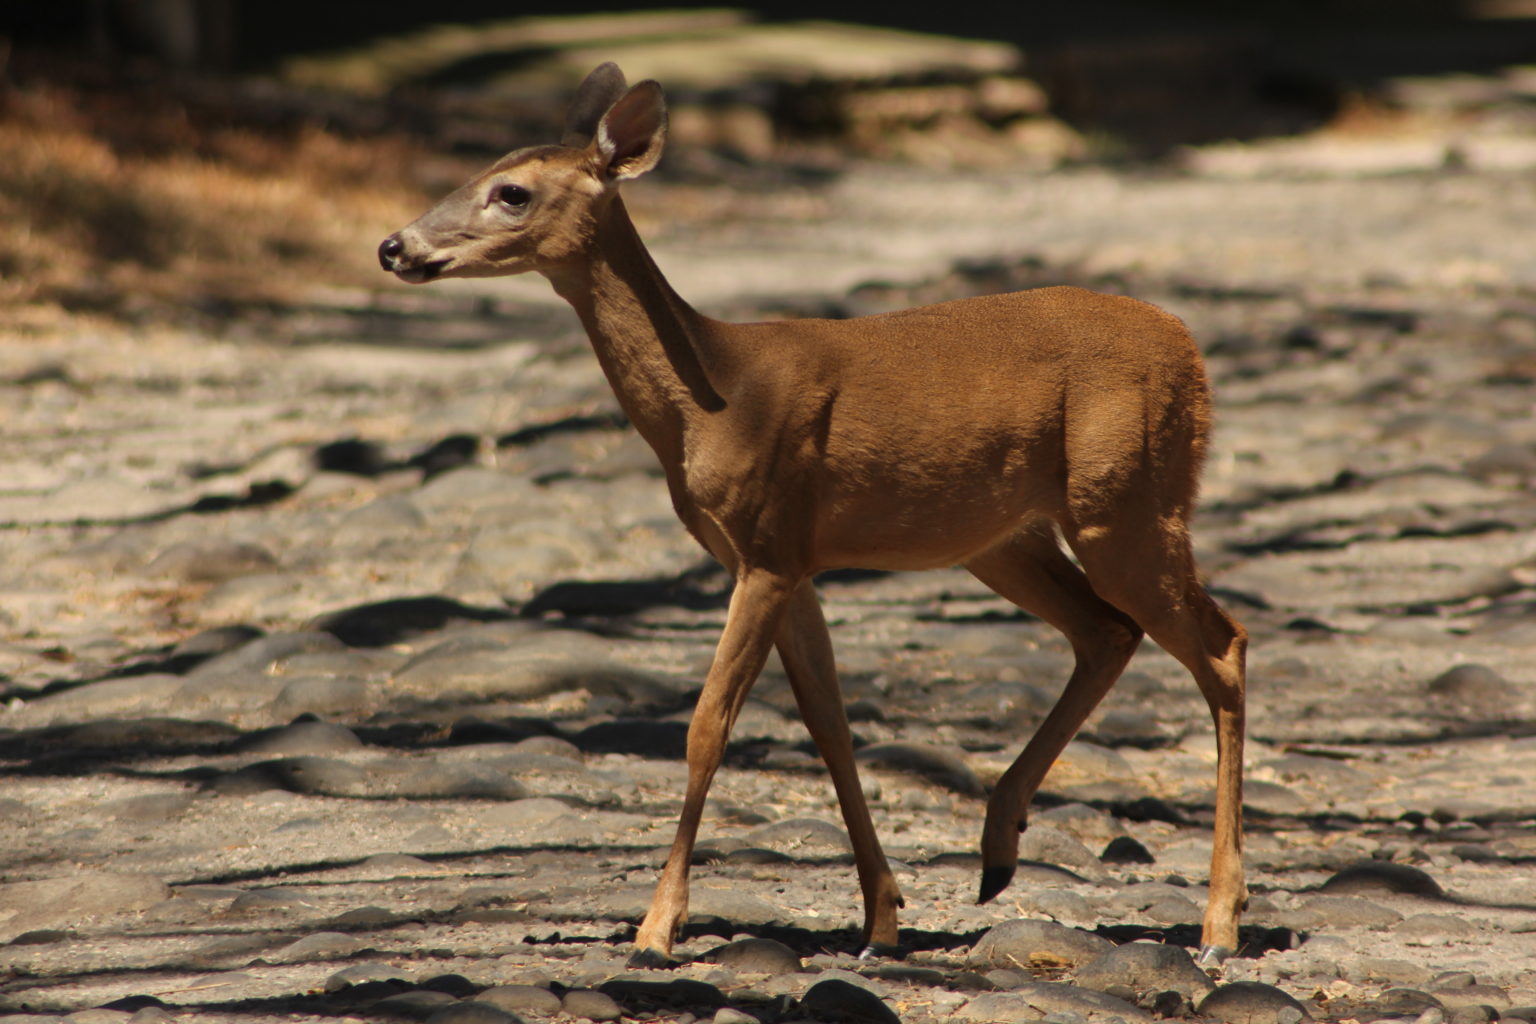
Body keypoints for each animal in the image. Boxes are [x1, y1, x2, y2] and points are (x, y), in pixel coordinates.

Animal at [380, 64, 1247, 970]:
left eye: (510, 191)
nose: (394, 246)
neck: (714, 400)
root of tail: (1189, 350)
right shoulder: (787, 559)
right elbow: (830, 725)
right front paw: (882, 918)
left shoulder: (765, 545)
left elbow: (707, 726)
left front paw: (657, 927)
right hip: (1005, 534)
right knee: (1106, 631)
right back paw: (998, 849)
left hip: (1127, 499)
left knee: (1221, 645)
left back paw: (1219, 925)